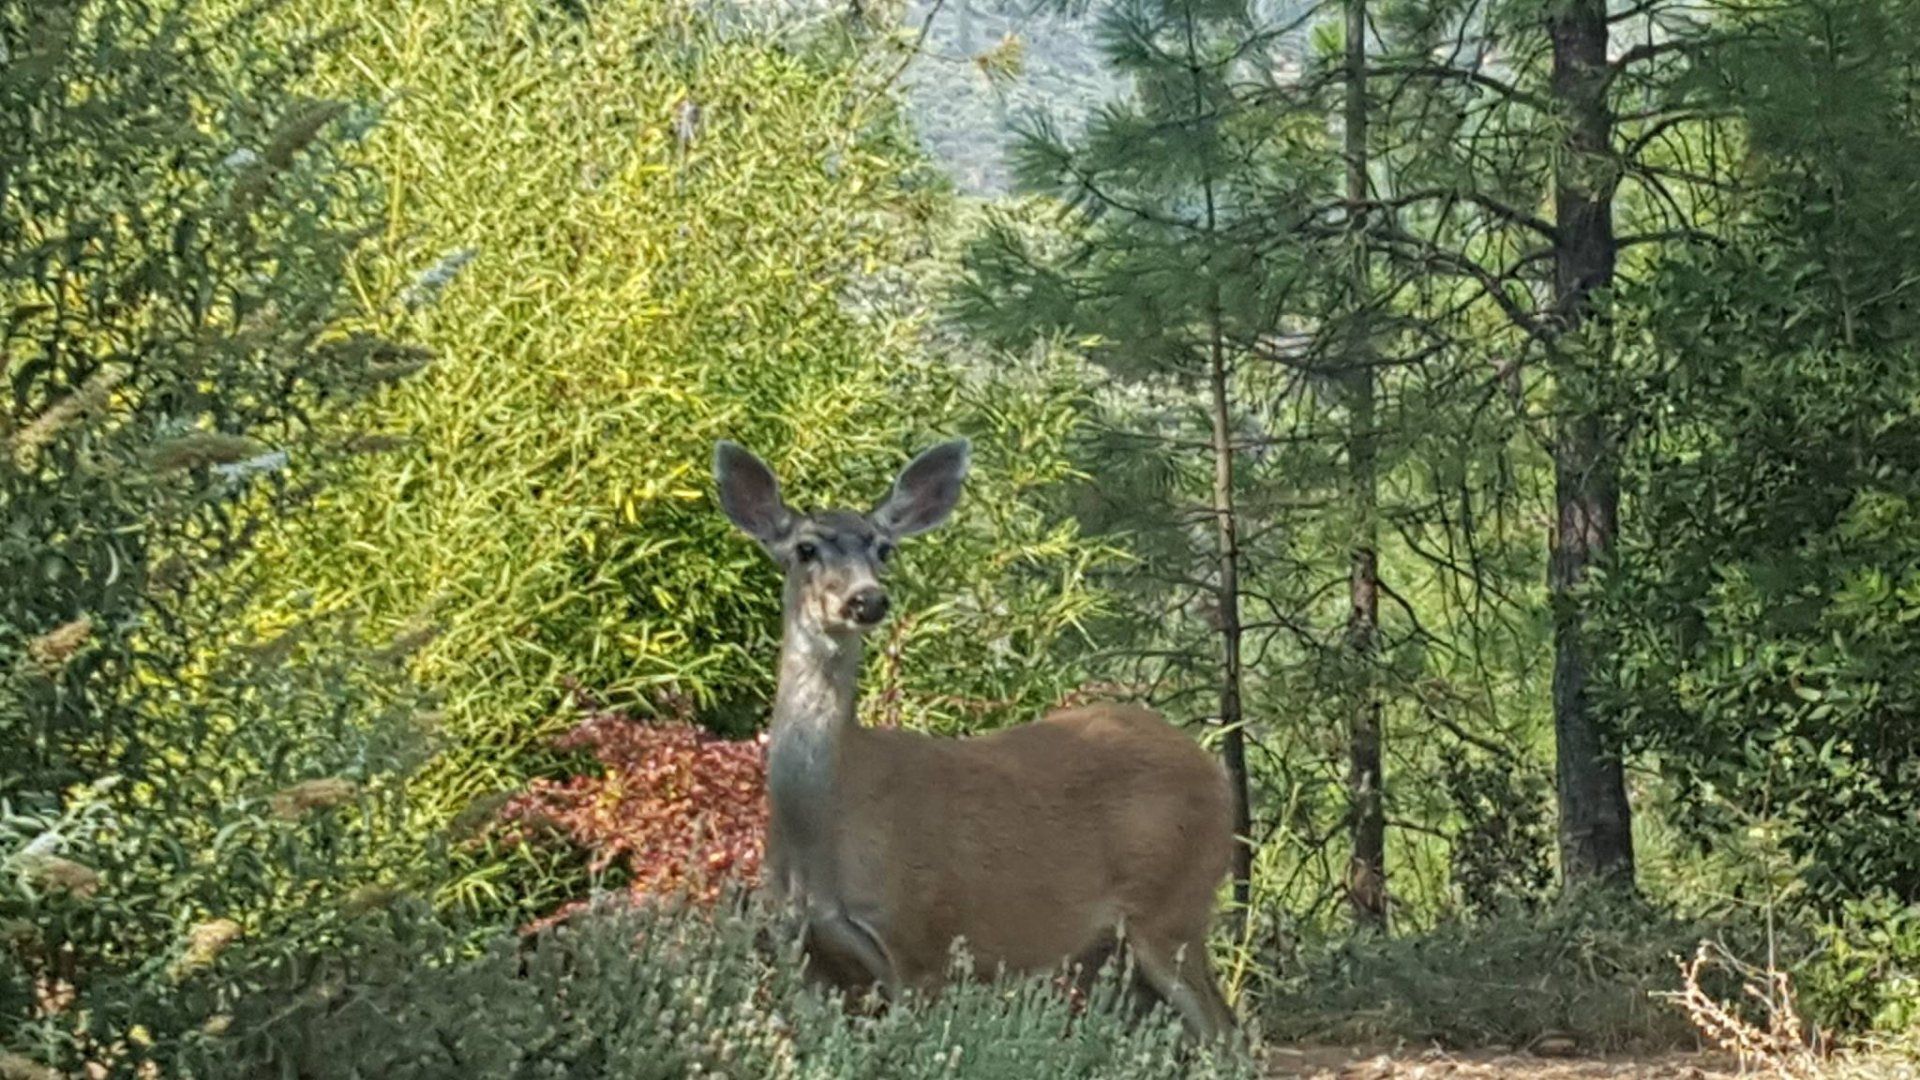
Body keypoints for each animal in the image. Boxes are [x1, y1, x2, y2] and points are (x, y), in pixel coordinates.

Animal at [714, 436, 1238, 1043]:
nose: (868, 600)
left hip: (1173, 908)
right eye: (805, 549)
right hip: (1113, 950)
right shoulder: (806, 954)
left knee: (1227, 1032)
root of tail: (1216, 772)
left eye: (884, 549)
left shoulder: (923, 941)